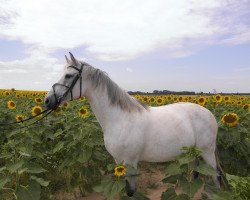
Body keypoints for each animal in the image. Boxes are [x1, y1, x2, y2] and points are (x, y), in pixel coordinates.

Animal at [45, 52, 221, 196]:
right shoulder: (118, 161)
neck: (119, 119)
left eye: (68, 75)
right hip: (190, 155)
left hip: (207, 152)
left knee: (216, 177)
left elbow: (130, 191)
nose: (47, 100)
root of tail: (209, 113)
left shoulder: (130, 162)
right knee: (195, 174)